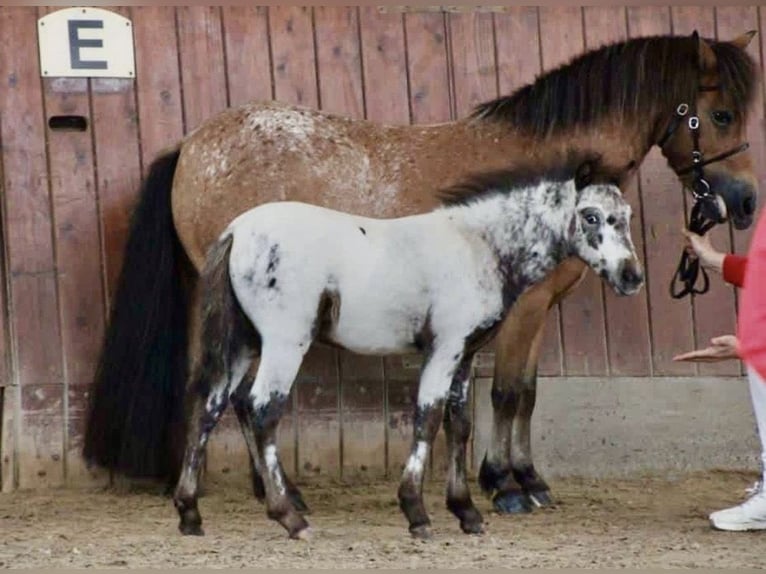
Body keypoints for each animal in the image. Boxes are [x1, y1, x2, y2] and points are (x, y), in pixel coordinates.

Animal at [172, 155, 644, 539]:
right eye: (591, 216)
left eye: (626, 215)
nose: (632, 276)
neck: (477, 245)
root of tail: (236, 231)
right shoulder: (444, 348)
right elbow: (427, 418)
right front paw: (417, 513)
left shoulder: (465, 356)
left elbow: (459, 425)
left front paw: (466, 512)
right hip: (286, 342)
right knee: (260, 410)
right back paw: (291, 517)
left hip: (245, 344)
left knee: (210, 407)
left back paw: (190, 513)